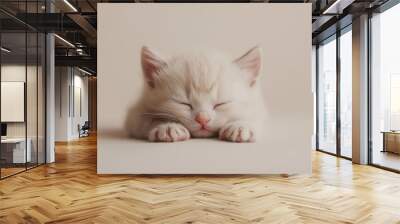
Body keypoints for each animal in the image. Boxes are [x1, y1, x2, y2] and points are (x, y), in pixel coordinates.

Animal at [126, 46, 266, 143]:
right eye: (183, 103)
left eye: (221, 104)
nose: (202, 118)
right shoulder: (135, 114)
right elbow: (146, 120)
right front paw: (167, 127)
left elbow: (257, 119)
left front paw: (240, 126)